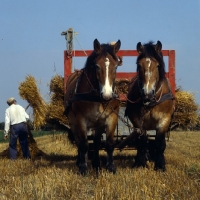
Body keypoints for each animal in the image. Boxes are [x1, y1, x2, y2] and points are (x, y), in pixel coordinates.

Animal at [64, 38, 120, 174]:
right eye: (97, 66)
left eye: (116, 66)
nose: (107, 95)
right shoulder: (80, 119)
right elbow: (84, 144)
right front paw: (83, 168)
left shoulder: (112, 118)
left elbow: (109, 143)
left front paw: (111, 166)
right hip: (73, 123)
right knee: (79, 141)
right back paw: (80, 162)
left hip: (98, 124)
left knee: (96, 141)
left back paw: (96, 163)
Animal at [126, 41, 174, 172]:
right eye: (139, 65)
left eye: (157, 65)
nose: (147, 94)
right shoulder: (137, 121)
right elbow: (142, 142)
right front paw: (140, 163)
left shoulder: (164, 120)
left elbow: (160, 143)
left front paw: (160, 165)